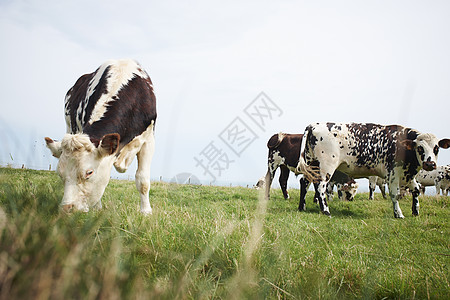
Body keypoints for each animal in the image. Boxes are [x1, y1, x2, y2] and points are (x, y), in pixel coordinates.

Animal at [44, 58, 156, 213]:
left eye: (89, 172)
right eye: (60, 173)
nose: (66, 208)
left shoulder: (148, 139)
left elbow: (143, 180)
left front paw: (146, 212)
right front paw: (97, 208)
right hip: (69, 126)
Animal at [296, 122, 450, 218]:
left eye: (436, 148)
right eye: (420, 148)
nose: (430, 164)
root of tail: (314, 125)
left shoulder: (408, 176)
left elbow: (416, 190)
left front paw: (415, 211)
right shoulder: (392, 175)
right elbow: (394, 194)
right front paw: (398, 214)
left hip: (311, 164)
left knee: (305, 182)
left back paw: (302, 207)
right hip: (326, 167)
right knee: (320, 185)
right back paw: (326, 211)